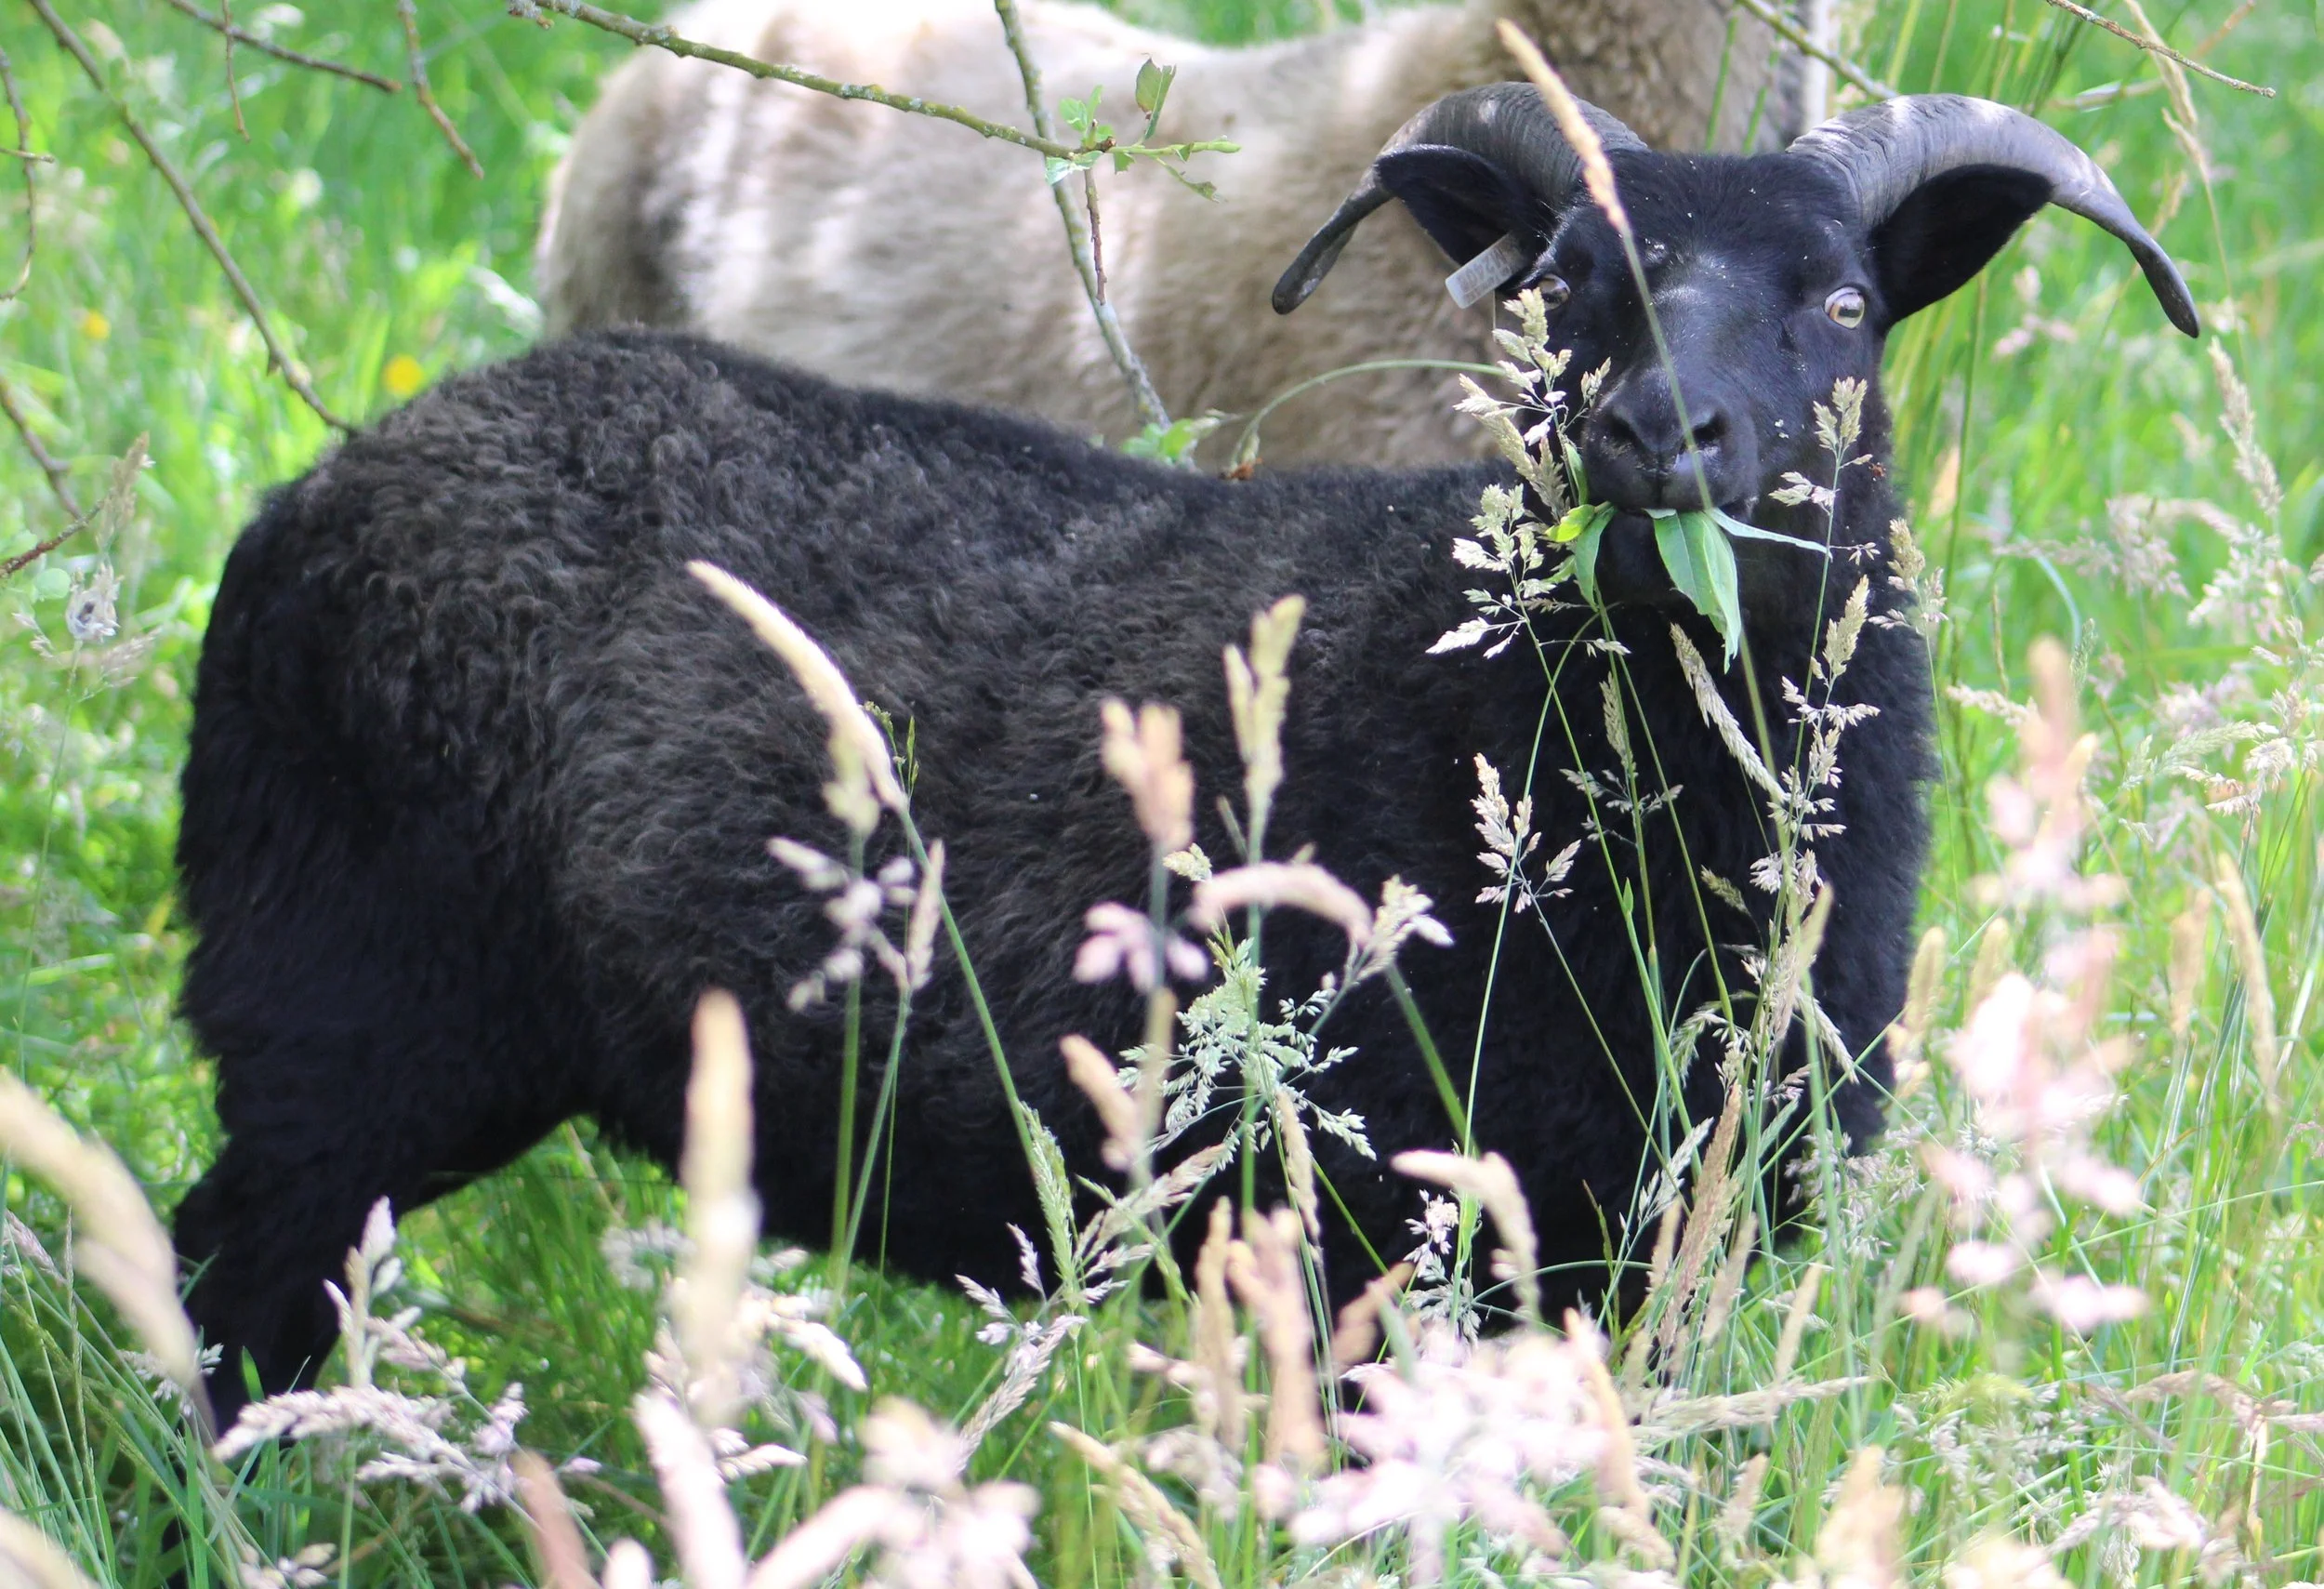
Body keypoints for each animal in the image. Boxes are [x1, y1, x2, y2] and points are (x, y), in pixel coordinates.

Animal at [176, 86, 2194, 1421]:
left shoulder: (1637, 1259)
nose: (1654, 433)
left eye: (1843, 301)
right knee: (218, 1282)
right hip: (338, 1022)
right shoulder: (1368, 1240)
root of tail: (309, 490)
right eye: (1558, 287)